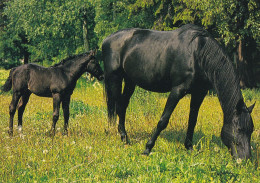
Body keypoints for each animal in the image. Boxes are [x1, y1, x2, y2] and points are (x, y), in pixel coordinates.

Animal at [102, 24, 255, 159]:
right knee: (118, 106)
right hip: (115, 78)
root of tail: (107, 39)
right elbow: (163, 120)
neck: (198, 54)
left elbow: (192, 120)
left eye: (251, 130)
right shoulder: (177, 91)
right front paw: (147, 149)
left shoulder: (199, 93)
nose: (245, 160)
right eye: (239, 129)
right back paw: (123, 137)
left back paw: (125, 139)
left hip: (130, 81)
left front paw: (189, 148)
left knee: (122, 106)